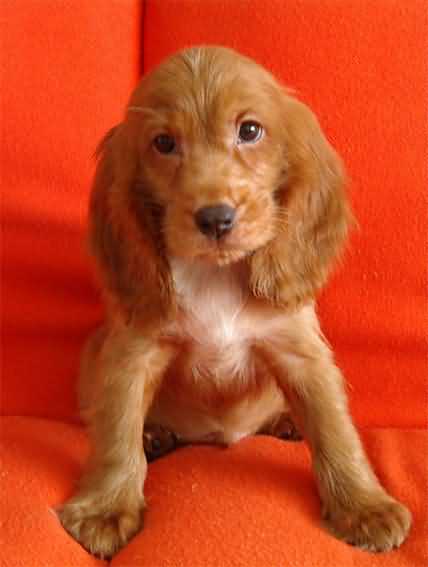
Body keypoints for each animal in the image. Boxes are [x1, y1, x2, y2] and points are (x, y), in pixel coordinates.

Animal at [59, 46, 411, 558]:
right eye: (163, 143)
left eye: (249, 131)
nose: (215, 218)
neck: (215, 274)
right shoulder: (132, 352)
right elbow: (116, 430)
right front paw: (105, 508)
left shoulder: (300, 350)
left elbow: (334, 428)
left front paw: (364, 506)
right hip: (93, 353)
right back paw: (155, 434)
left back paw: (285, 422)